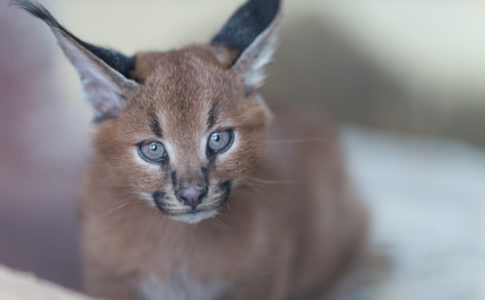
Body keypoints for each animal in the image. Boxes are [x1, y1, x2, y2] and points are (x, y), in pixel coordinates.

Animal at [11, 0, 366, 298]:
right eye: (153, 148)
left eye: (219, 139)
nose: (193, 194)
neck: (178, 249)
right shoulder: (107, 278)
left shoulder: (259, 278)